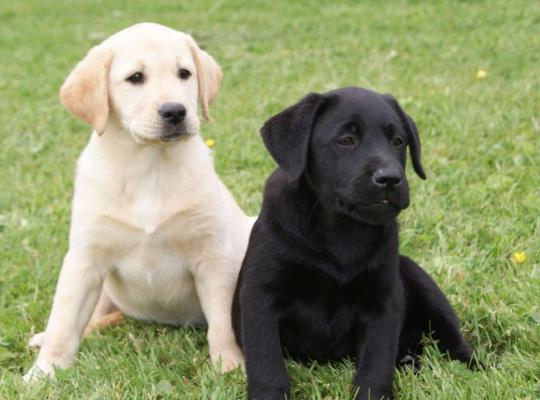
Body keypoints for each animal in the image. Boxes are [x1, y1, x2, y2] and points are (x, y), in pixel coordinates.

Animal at [24, 22, 253, 382]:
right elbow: (63, 322)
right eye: (135, 78)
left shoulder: (213, 256)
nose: (175, 111)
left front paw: (229, 366)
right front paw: (43, 373)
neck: (149, 167)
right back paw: (46, 338)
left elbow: (222, 324)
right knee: (91, 319)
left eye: (184, 73)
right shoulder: (85, 259)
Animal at [232, 87, 472, 400]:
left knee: (452, 338)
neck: (341, 229)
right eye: (346, 140)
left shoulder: (383, 299)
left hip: (422, 282)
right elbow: (266, 365)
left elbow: (376, 363)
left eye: (398, 141)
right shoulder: (260, 295)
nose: (390, 178)